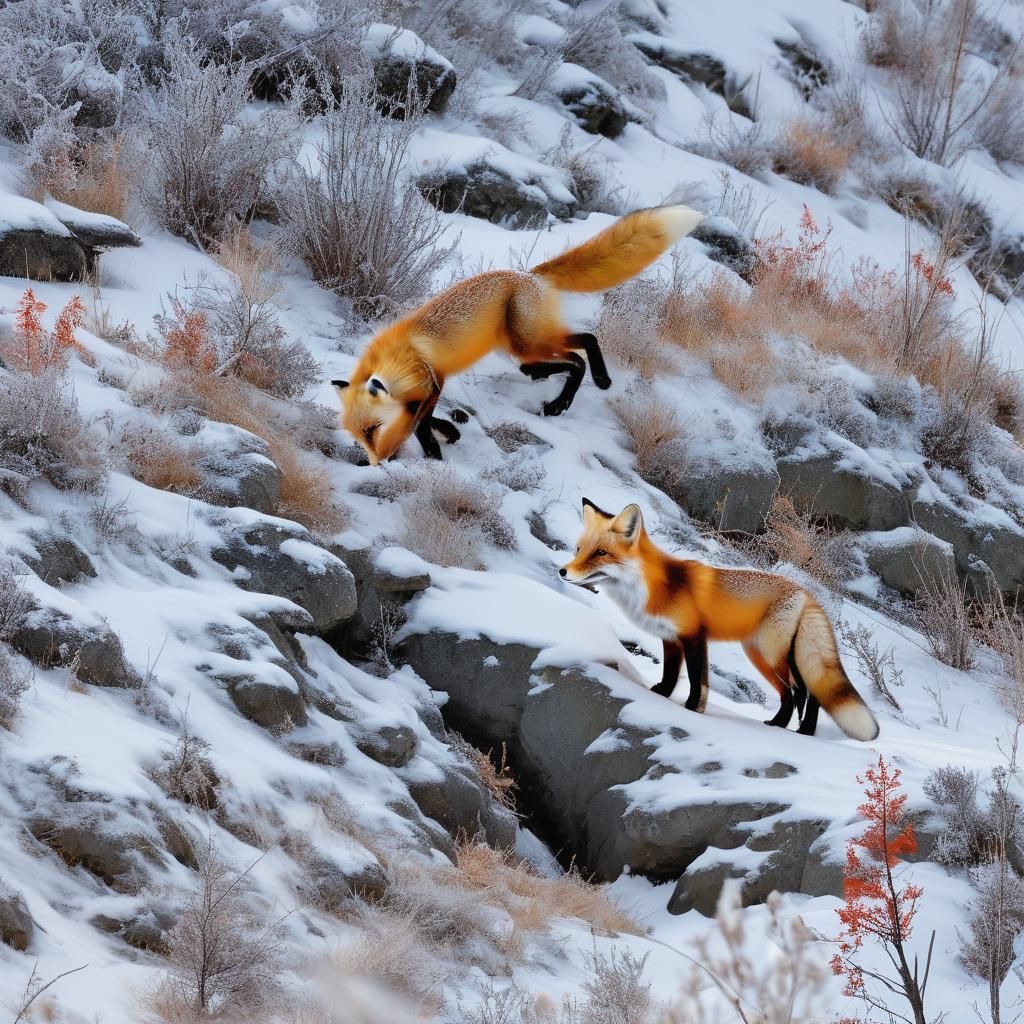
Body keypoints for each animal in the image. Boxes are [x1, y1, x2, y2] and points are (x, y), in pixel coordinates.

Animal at [331, 204, 704, 465]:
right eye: (359, 438)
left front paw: (434, 453)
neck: (397, 361)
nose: (376, 462)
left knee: (579, 355)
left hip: (526, 345)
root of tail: (529, 274)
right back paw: (577, 383)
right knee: (581, 344)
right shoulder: (429, 389)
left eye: (373, 430)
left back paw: (570, 397)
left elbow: (422, 425)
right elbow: (427, 419)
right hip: (524, 347)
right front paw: (448, 432)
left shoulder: (431, 383)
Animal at [559, 499, 880, 741]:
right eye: (579, 549)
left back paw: (801, 731)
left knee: (804, 692)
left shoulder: (694, 637)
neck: (652, 586)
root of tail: (808, 593)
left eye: (601, 553)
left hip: (774, 654)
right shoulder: (670, 638)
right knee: (792, 695)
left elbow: (697, 681)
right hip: (760, 657)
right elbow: (671, 674)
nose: (563, 571)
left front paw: (692, 709)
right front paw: (662, 695)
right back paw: (783, 725)